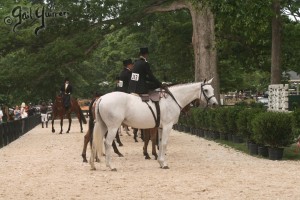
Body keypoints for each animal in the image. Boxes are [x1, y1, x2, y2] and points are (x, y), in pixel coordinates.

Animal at [89, 79, 218, 171]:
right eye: (206, 90)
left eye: (212, 89)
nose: (215, 104)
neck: (171, 100)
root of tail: (101, 98)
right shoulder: (167, 126)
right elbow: (164, 143)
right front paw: (164, 163)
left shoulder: (160, 127)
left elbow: (159, 143)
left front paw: (160, 162)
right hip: (112, 127)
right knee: (107, 143)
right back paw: (110, 166)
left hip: (103, 126)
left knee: (95, 141)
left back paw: (92, 165)